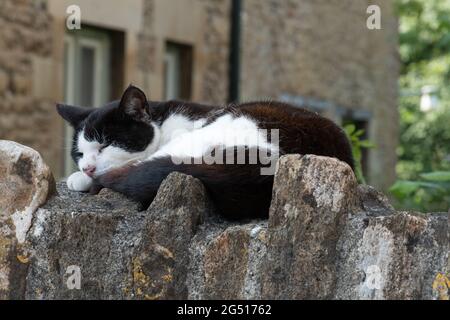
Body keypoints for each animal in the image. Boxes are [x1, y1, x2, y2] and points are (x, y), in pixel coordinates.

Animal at [56, 85, 354, 220]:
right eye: (79, 154)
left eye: (106, 145)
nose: (87, 167)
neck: (164, 122)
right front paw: (79, 175)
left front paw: (82, 179)